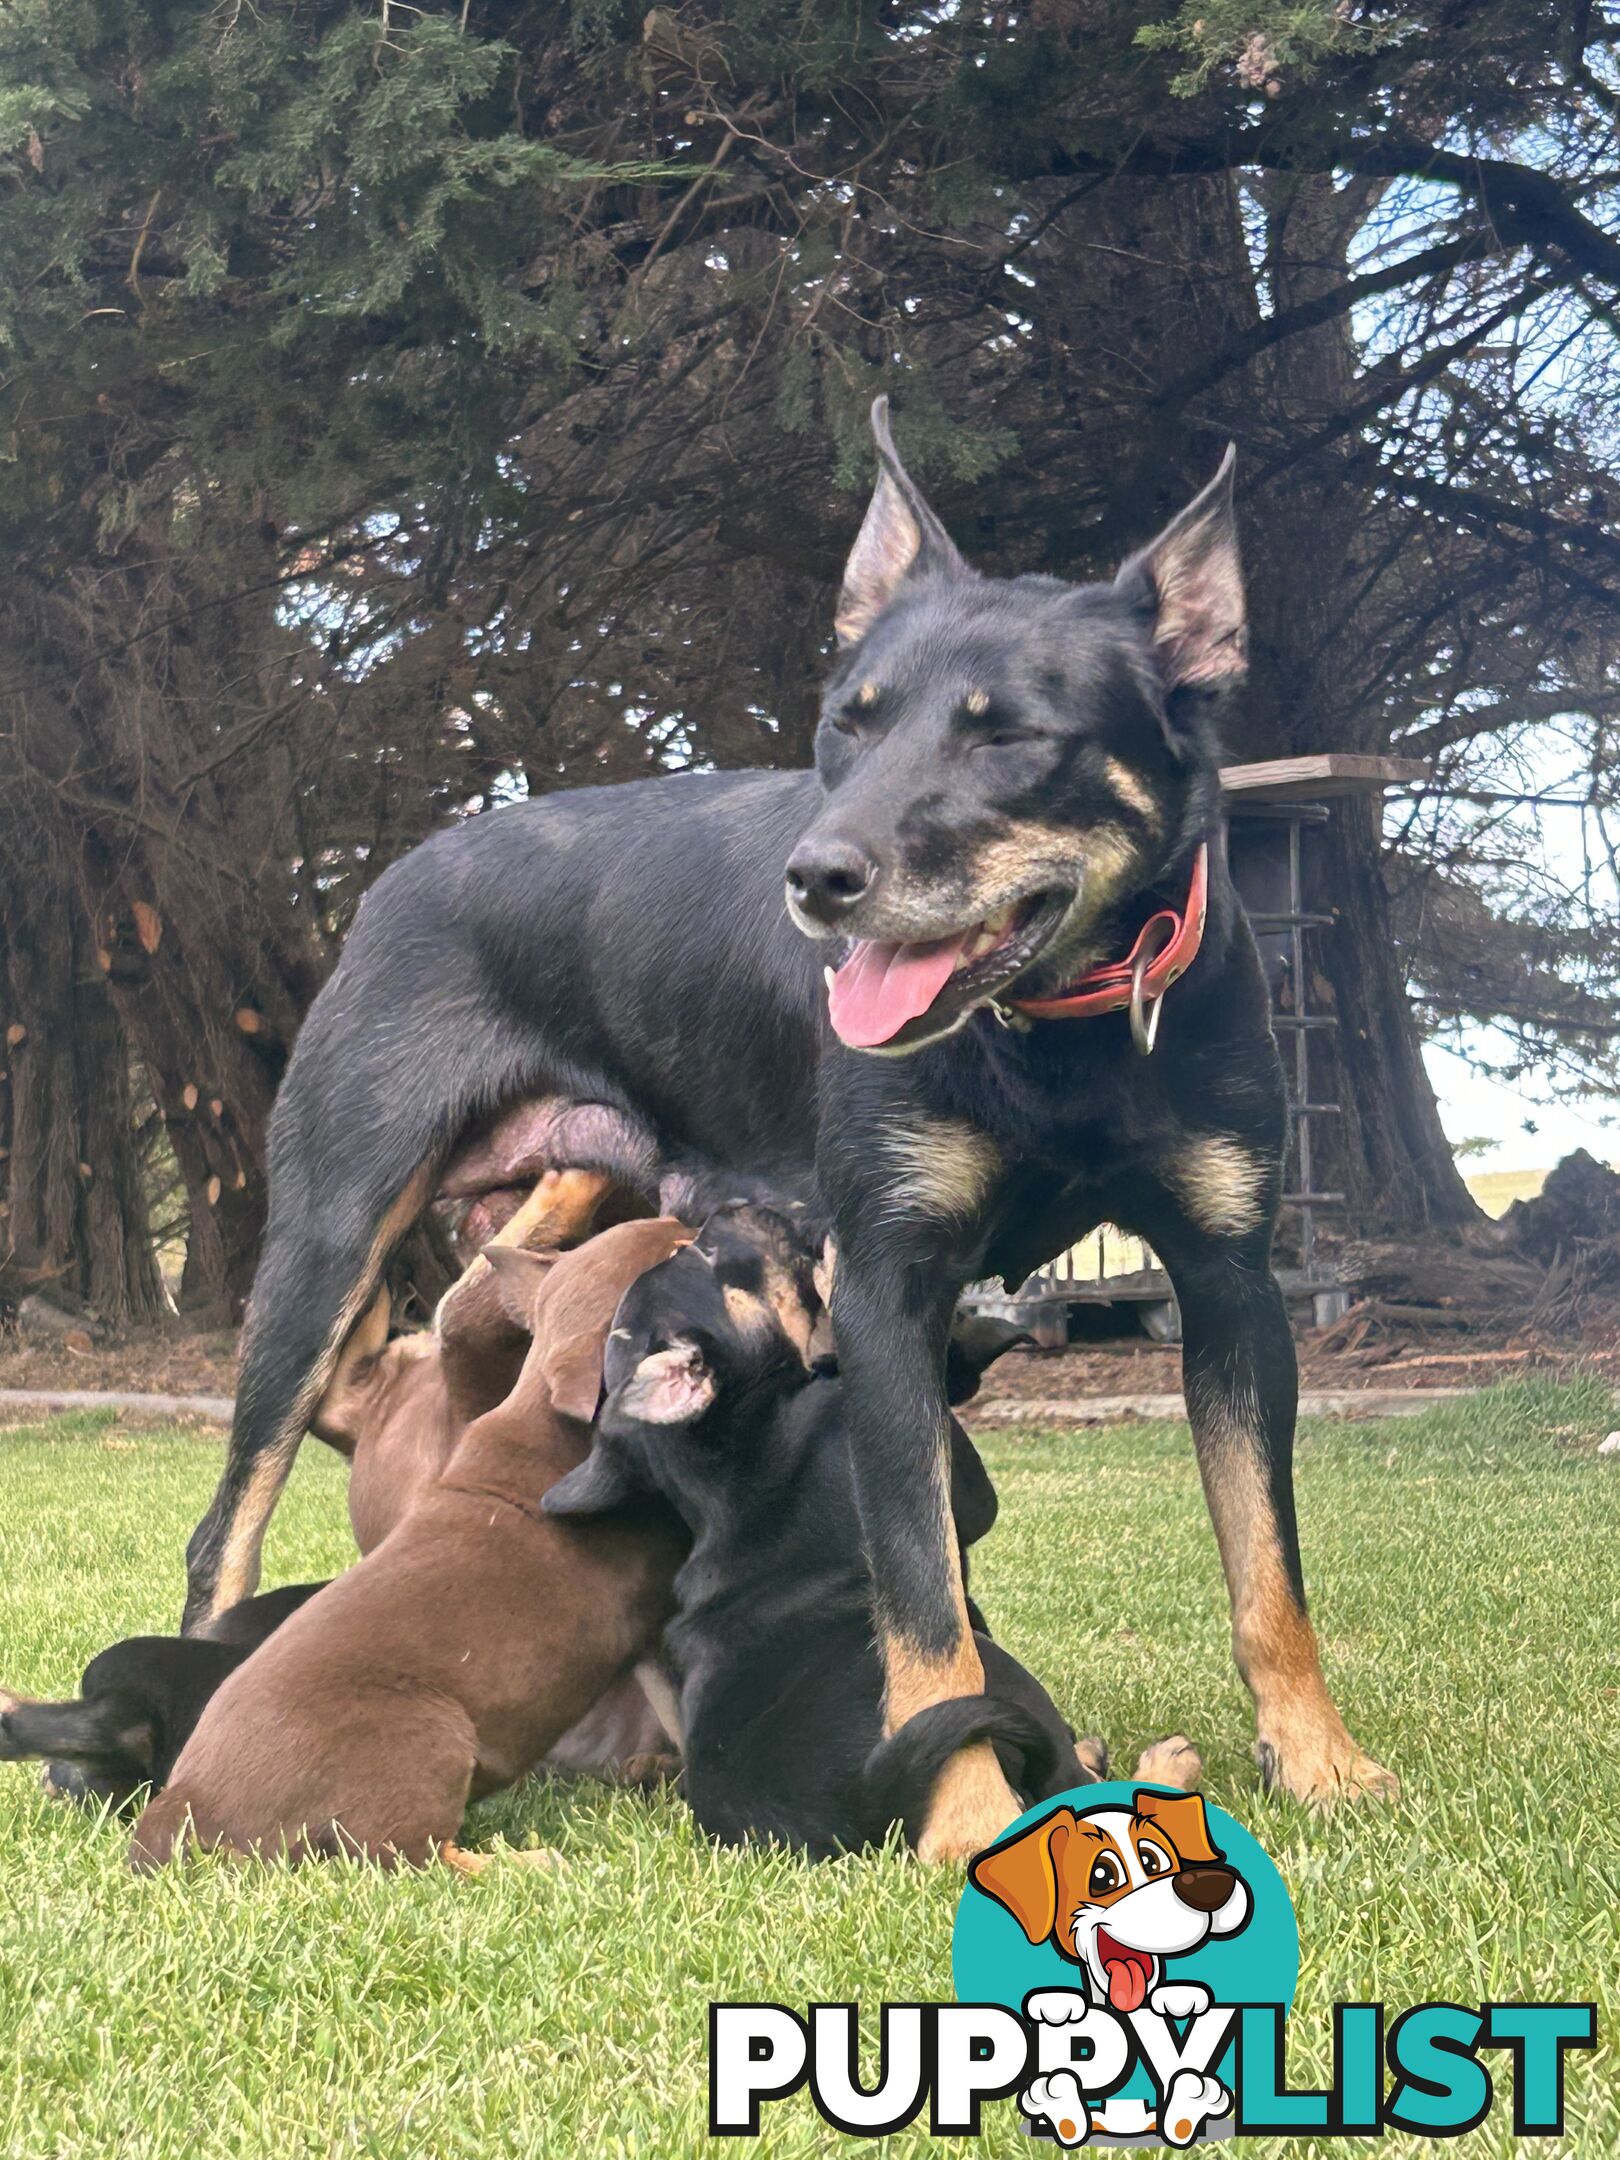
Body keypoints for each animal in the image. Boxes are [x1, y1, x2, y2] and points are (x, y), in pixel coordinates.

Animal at [131, 1218, 691, 1874]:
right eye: (678, 1254)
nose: (692, 1218)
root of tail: (186, 1801)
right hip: (432, 1735)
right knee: (413, 1854)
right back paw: (529, 1861)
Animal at [546, 1200, 1092, 1857]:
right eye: (701, 1254)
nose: (732, 1206)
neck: (728, 1462)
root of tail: (868, 1792)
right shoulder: (938, 1477)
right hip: (997, 1679)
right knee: (1062, 1774)